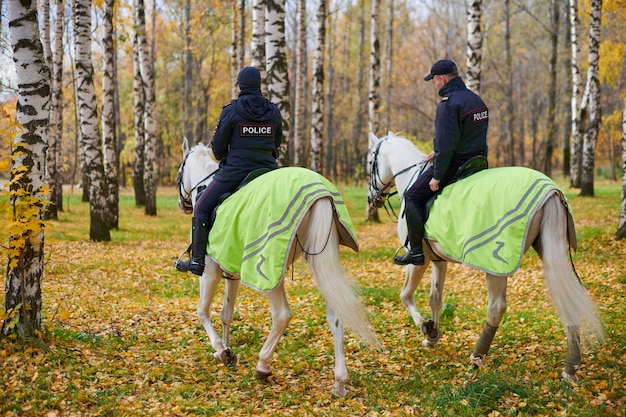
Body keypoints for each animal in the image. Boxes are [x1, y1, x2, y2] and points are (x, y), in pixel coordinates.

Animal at [177, 138, 380, 394]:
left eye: (179, 172)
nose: (182, 206)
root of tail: (320, 194)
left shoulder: (210, 270)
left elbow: (202, 311)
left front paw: (221, 350)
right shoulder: (231, 271)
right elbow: (226, 314)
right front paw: (226, 350)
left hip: (269, 269)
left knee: (282, 314)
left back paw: (263, 365)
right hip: (321, 260)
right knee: (336, 315)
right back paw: (339, 381)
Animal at [366, 132, 600, 380]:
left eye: (370, 161)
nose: (372, 200)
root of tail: (551, 190)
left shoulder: (418, 261)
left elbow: (405, 295)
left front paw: (425, 327)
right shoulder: (439, 261)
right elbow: (435, 297)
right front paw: (432, 336)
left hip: (496, 265)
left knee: (496, 308)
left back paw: (477, 355)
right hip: (550, 250)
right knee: (568, 296)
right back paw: (571, 366)